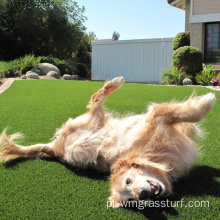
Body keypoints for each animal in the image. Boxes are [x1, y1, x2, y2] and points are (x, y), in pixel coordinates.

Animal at [0, 76, 217, 207]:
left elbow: (187, 116)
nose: (142, 195)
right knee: (95, 101)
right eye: (131, 200)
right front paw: (207, 101)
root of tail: (54, 148)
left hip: (93, 124)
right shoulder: (158, 121)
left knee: (96, 99)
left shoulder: (159, 123)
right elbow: (179, 112)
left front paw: (207, 100)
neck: (152, 157)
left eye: (129, 180)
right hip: (82, 140)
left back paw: (115, 83)